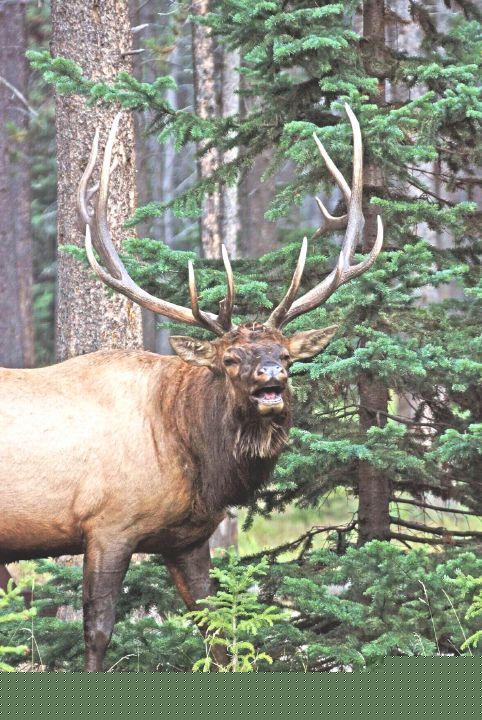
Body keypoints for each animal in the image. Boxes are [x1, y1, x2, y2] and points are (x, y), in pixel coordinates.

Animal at [0, 105, 382, 671]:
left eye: (287, 355)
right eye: (229, 359)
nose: (272, 379)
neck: (192, 454)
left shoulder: (189, 538)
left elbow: (217, 630)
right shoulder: (107, 524)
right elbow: (97, 631)